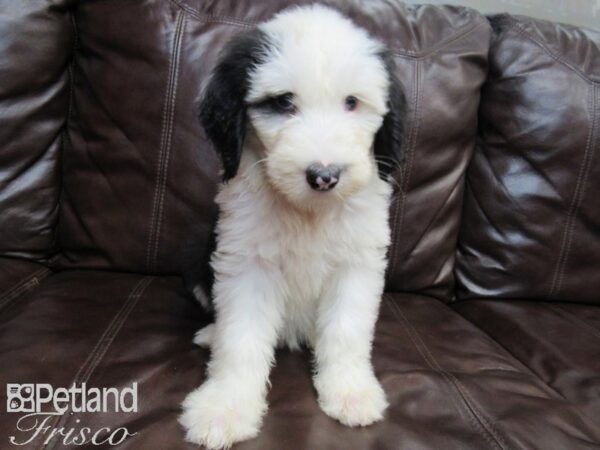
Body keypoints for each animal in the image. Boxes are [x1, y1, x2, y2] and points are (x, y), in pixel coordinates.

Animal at [180, 4, 406, 450]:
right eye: (283, 102)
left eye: (351, 102)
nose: (324, 176)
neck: (309, 213)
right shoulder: (246, 263)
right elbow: (240, 339)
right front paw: (225, 407)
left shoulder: (356, 264)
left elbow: (347, 330)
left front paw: (350, 391)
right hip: (200, 269)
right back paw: (210, 335)